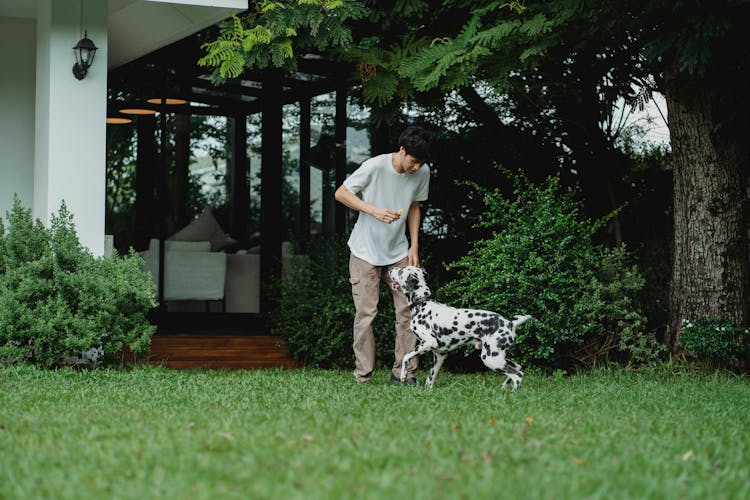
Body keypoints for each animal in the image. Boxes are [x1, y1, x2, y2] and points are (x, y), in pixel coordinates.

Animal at [390, 266, 532, 390]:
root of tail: (510, 323)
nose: (390, 268)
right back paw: (504, 387)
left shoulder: (428, 342)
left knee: (517, 375)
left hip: (491, 359)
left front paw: (403, 374)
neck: (423, 304)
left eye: (401, 270)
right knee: (518, 367)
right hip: (497, 357)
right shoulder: (439, 355)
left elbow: (406, 356)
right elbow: (429, 380)